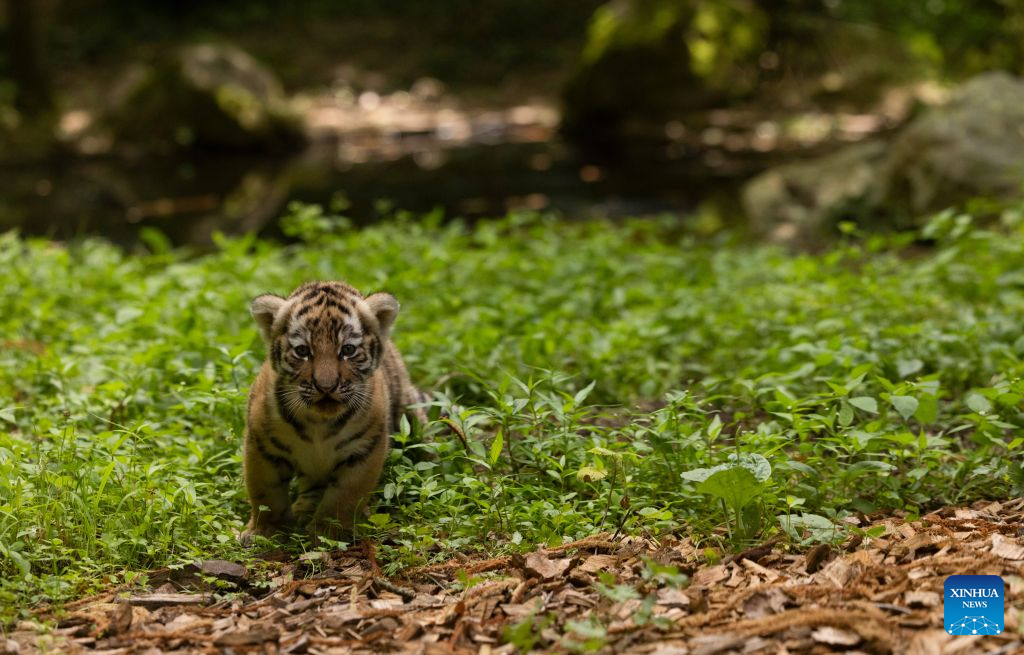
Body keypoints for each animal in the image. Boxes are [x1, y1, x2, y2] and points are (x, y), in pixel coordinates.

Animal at [240, 280, 428, 545]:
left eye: (348, 350)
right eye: (303, 351)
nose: (326, 387)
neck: (318, 422)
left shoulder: (363, 451)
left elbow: (343, 496)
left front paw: (326, 533)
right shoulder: (262, 447)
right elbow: (265, 494)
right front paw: (264, 531)